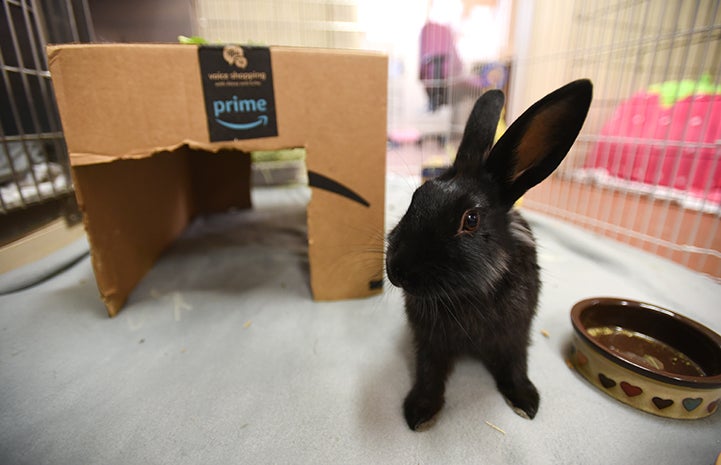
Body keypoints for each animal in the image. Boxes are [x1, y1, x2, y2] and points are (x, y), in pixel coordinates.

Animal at [386, 79, 592, 428]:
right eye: (417, 197)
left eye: (470, 220)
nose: (397, 271)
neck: (467, 294)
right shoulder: (429, 342)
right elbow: (428, 372)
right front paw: (420, 412)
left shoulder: (515, 336)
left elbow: (515, 365)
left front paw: (526, 402)